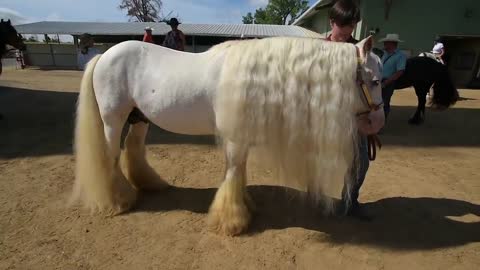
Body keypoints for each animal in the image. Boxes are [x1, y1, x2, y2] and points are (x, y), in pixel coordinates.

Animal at [71, 36, 384, 236]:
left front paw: (244, 207)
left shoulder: (240, 138)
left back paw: (148, 185)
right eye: (375, 80)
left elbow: (237, 171)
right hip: (113, 120)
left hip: (140, 119)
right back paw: (116, 201)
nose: (377, 123)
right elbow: (233, 172)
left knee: (132, 148)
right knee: (110, 155)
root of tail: (104, 55)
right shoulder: (234, 139)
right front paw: (232, 222)